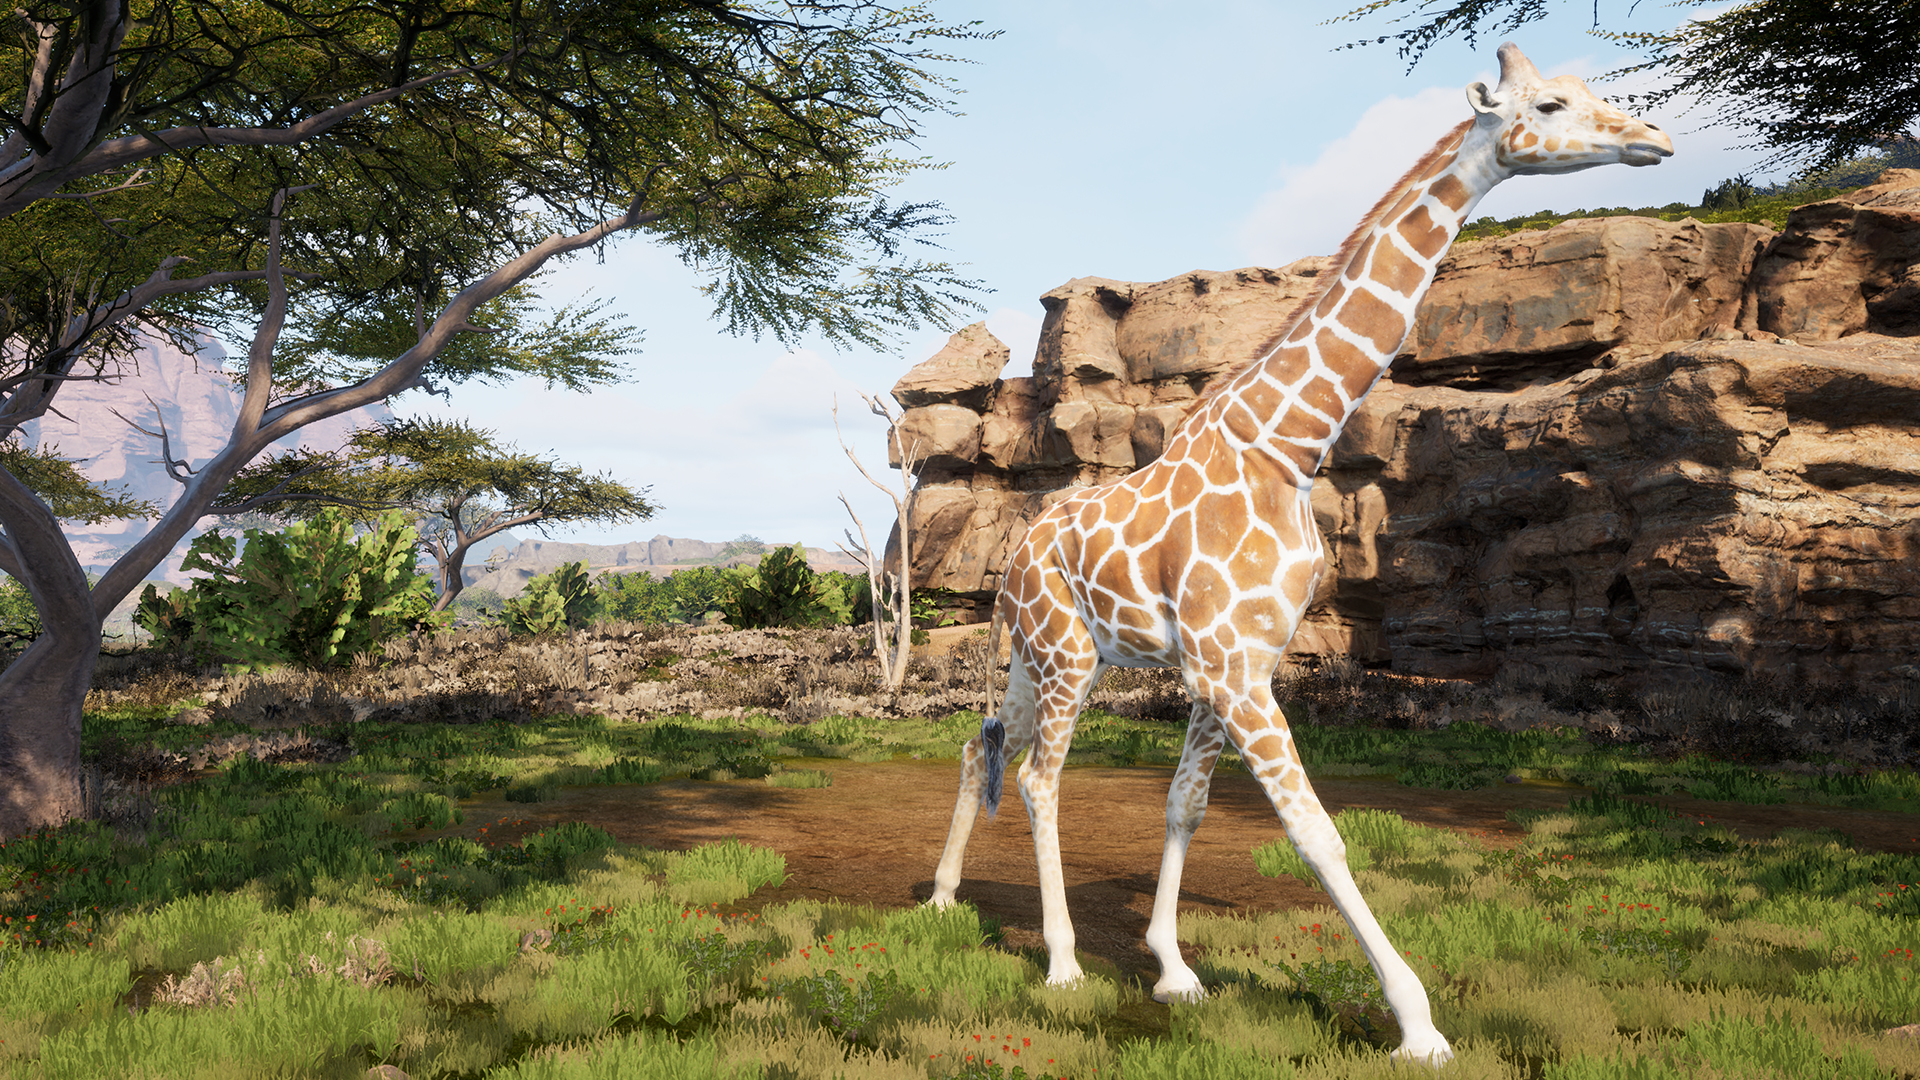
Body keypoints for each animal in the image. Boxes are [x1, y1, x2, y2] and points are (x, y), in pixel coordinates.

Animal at [925, 43, 1671, 1066]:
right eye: (1552, 103)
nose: (1655, 139)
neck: (1288, 445)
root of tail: (1015, 556)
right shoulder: (1232, 667)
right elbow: (1317, 834)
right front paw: (1418, 1024)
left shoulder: (1237, 663)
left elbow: (1187, 806)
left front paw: (1174, 970)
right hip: (1067, 657)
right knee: (1039, 779)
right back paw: (1064, 964)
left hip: (1046, 656)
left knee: (983, 743)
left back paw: (941, 898)